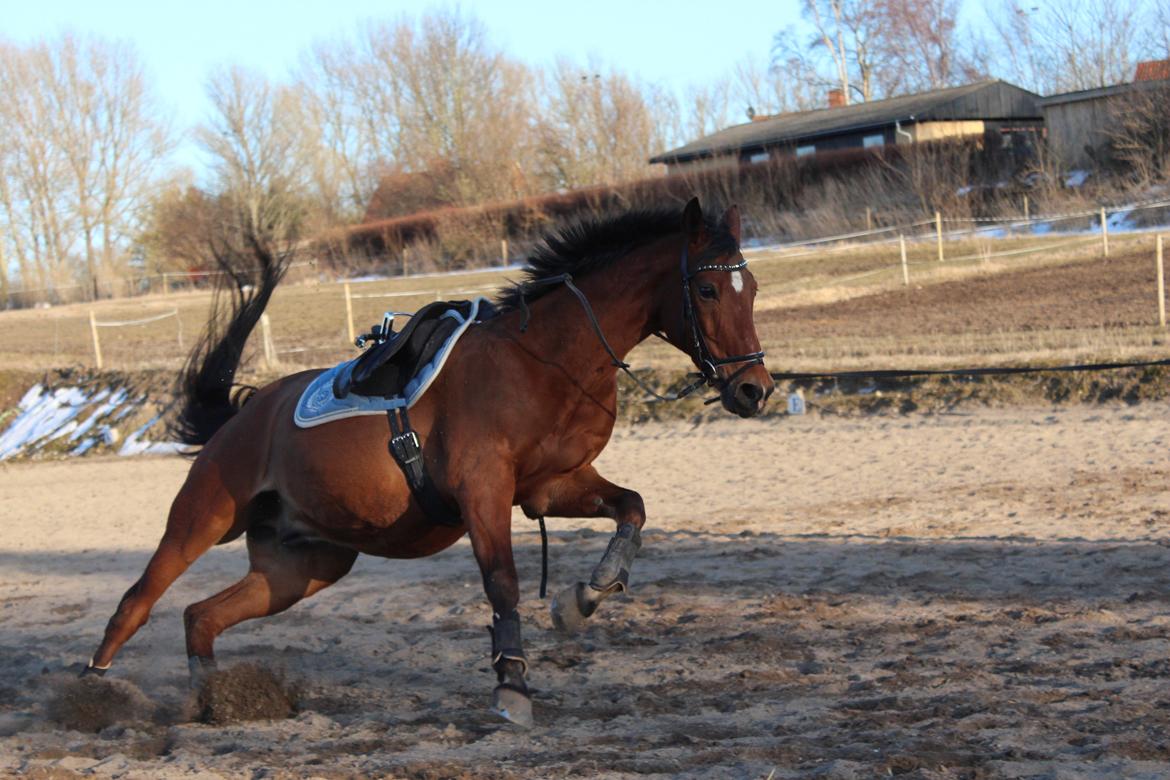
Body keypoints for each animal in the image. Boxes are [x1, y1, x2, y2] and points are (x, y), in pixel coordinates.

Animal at [84, 198, 776, 729]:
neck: (545, 361)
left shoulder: (550, 487)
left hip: (301, 566)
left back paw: (212, 699)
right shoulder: (484, 492)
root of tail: (248, 409)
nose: (754, 390)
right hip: (202, 518)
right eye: (707, 288)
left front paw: (584, 597)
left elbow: (632, 508)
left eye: (753, 290)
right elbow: (503, 583)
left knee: (200, 616)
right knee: (139, 599)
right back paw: (94, 693)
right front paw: (512, 688)